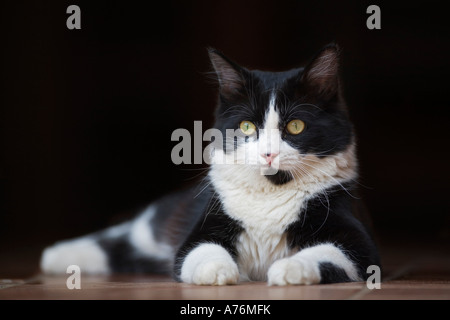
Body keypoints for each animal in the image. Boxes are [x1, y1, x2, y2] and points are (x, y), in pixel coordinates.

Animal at [41, 43, 380, 284]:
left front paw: (289, 269)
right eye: (247, 127)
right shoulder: (203, 227)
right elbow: (201, 251)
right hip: (153, 226)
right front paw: (219, 273)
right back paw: (56, 256)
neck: (271, 193)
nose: (268, 153)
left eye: (296, 126)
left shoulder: (358, 241)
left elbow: (327, 253)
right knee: (123, 235)